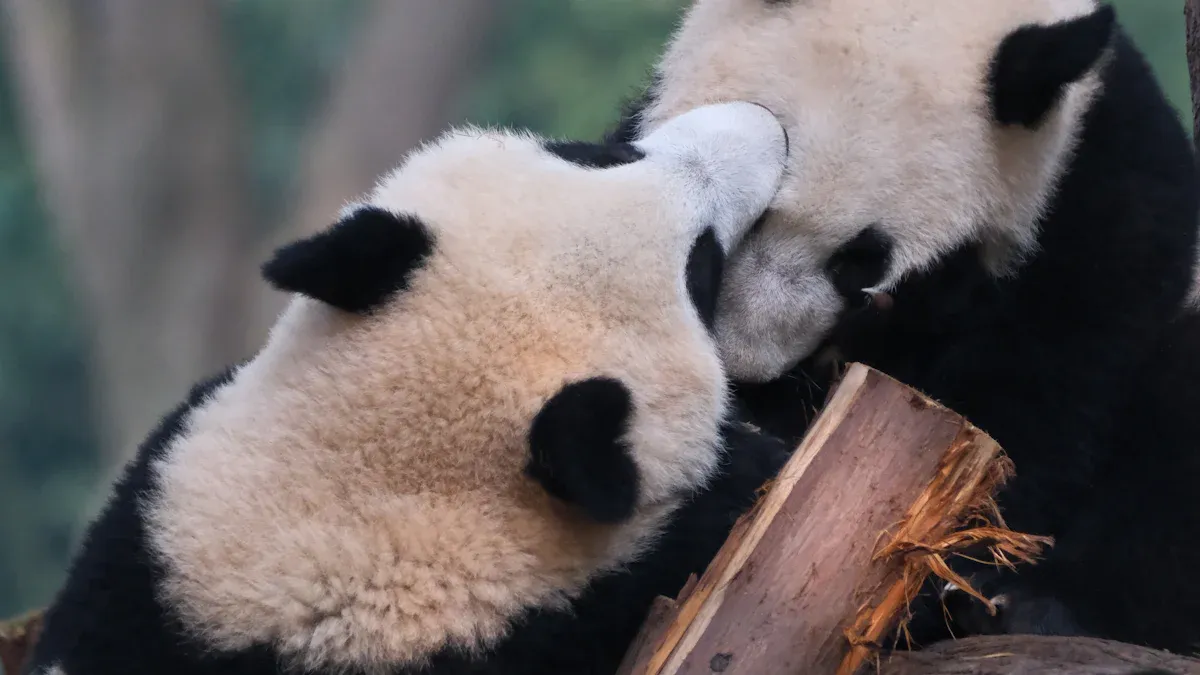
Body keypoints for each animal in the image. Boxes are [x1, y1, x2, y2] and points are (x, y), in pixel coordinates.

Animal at [610, 0, 1200, 655]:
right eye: (758, 205)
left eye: (862, 261)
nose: (748, 365)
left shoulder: (1096, 223)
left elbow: (1030, 415)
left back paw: (1018, 606)